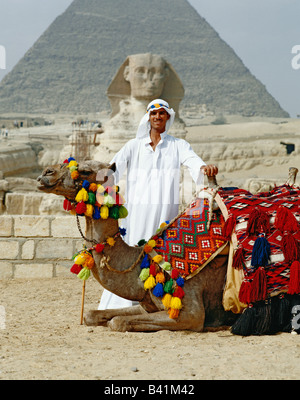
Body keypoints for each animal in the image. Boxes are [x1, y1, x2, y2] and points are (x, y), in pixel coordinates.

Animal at [38, 159, 234, 332]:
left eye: (86, 171)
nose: (46, 172)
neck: (145, 261)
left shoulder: (191, 311)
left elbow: (117, 322)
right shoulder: (146, 304)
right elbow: (90, 315)